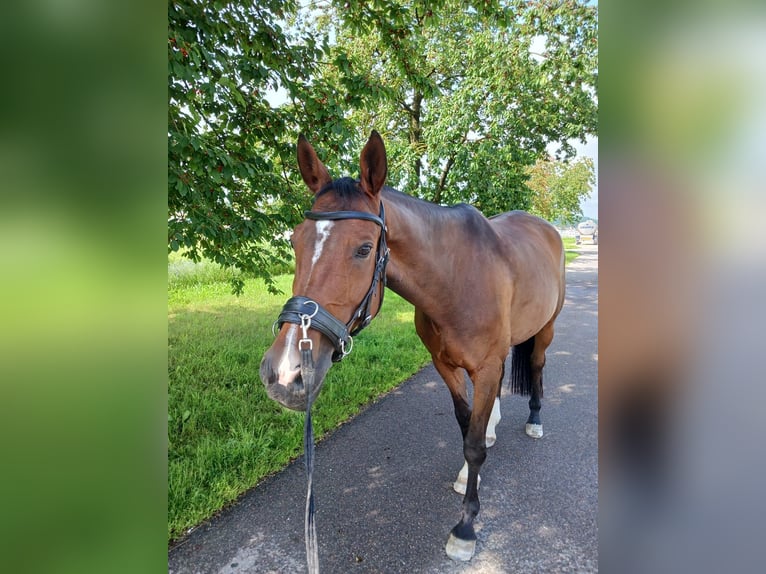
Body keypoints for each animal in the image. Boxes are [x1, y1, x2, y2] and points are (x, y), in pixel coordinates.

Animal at [260, 130, 568, 564]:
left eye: (364, 249)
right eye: (293, 241)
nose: (284, 373)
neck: (456, 278)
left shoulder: (486, 366)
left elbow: (473, 446)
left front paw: (465, 528)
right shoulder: (444, 365)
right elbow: (467, 426)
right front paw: (470, 471)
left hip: (546, 329)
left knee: (538, 366)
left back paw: (535, 420)